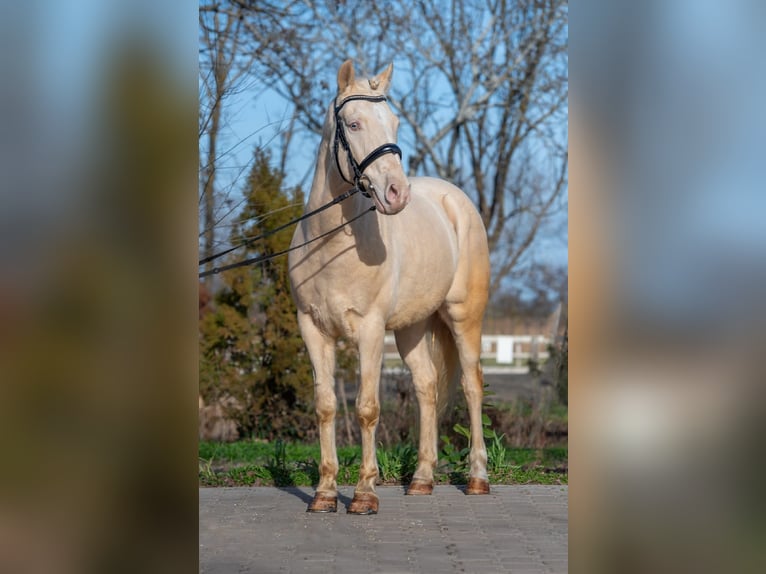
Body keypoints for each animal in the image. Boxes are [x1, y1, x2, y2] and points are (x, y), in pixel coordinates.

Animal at [288, 59, 492, 516]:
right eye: (353, 123)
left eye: (395, 121)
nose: (397, 194)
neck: (332, 245)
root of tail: (455, 200)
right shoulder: (312, 329)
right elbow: (326, 406)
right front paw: (324, 494)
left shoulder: (369, 330)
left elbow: (367, 408)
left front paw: (364, 493)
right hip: (412, 328)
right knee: (427, 387)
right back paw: (421, 480)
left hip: (463, 318)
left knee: (472, 386)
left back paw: (477, 479)